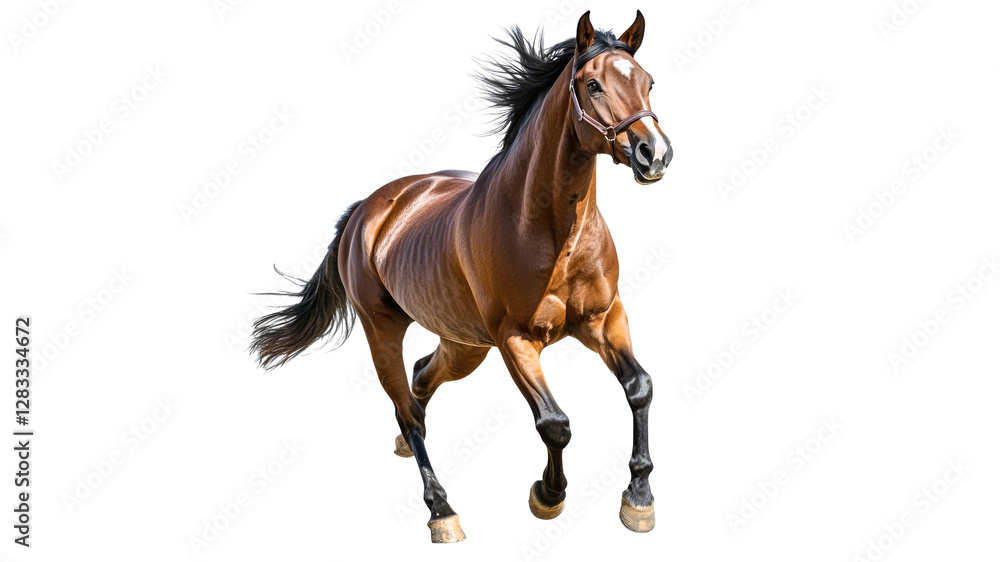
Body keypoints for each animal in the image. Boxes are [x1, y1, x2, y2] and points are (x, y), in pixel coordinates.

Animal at [251, 10, 672, 543]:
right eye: (592, 84)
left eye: (648, 81)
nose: (654, 153)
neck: (550, 232)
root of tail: (367, 210)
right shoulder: (515, 339)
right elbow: (554, 422)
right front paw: (547, 495)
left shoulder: (602, 318)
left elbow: (639, 387)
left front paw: (639, 499)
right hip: (384, 330)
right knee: (407, 409)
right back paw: (442, 511)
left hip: (464, 343)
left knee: (420, 379)